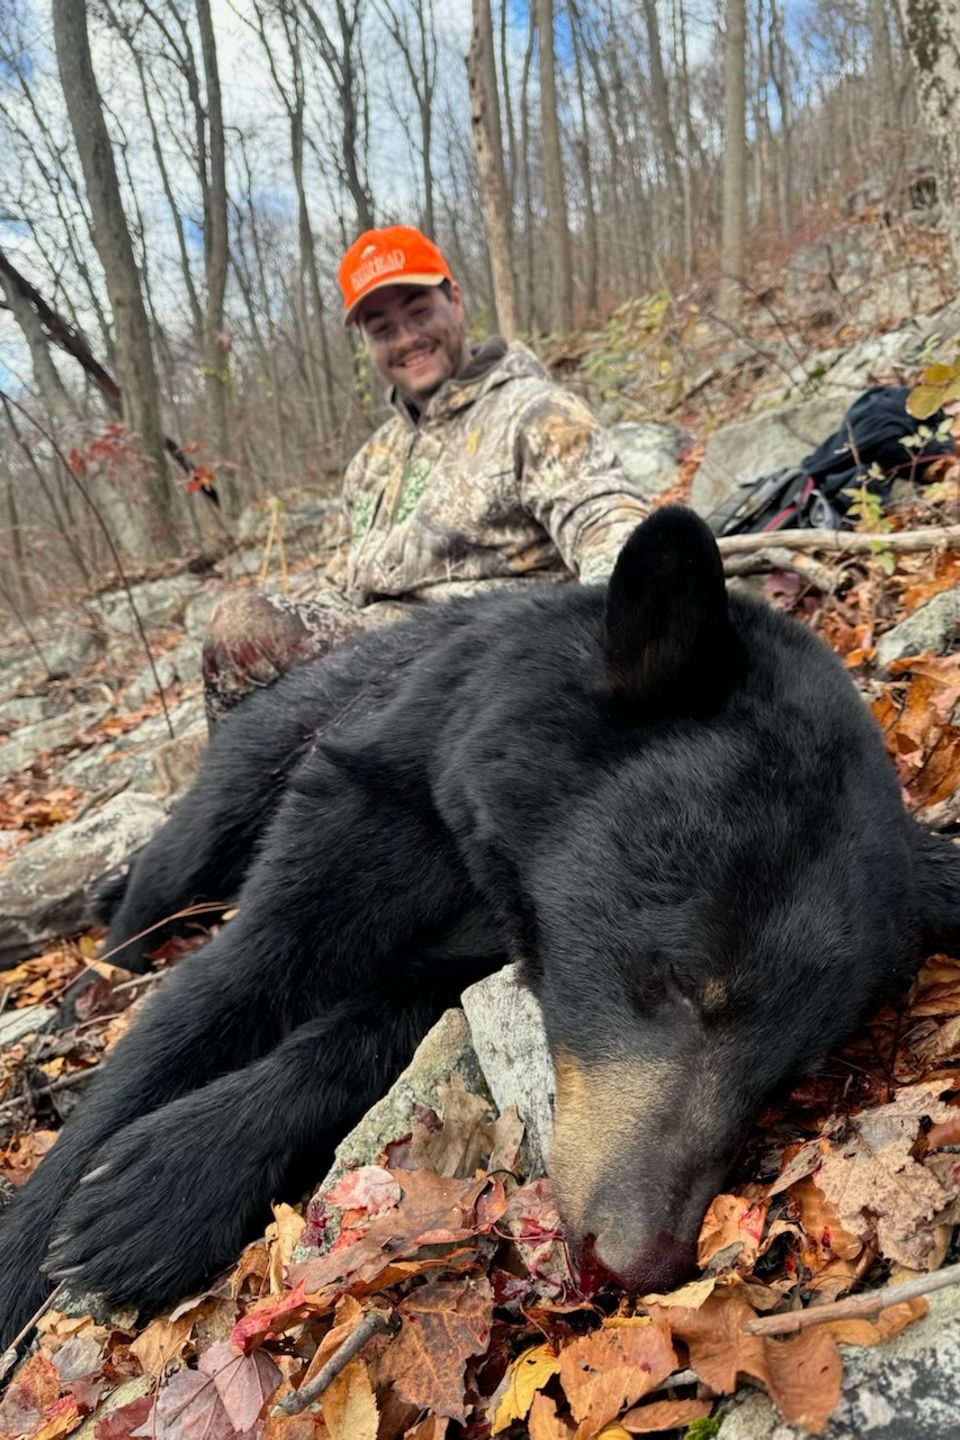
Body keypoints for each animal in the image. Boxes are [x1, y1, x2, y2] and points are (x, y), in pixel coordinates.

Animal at [1, 505, 958, 1347]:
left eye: (792, 1072)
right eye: (684, 981)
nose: (641, 1257)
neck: (481, 847)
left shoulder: (493, 939)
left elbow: (390, 1019)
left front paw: (160, 1188)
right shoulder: (376, 807)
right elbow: (219, 995)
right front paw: (50, 1238)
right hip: (256, 760)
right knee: (167, 875)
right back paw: (90, 981)